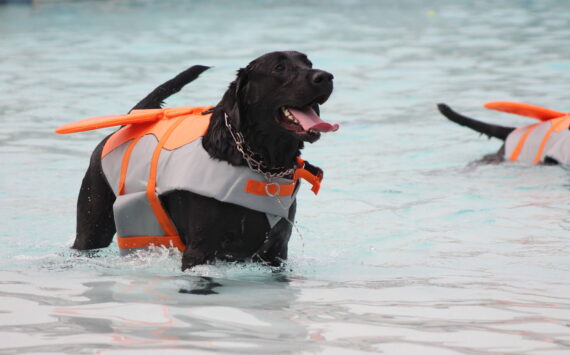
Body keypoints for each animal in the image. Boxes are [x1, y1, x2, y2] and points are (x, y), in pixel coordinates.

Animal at [71, 51, 338, 272]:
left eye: (308, 63)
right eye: (279, 67)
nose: (325, 76)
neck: (257, 161)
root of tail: (124, 125)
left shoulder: (276, 251)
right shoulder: (199, 251)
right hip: (93, 222)